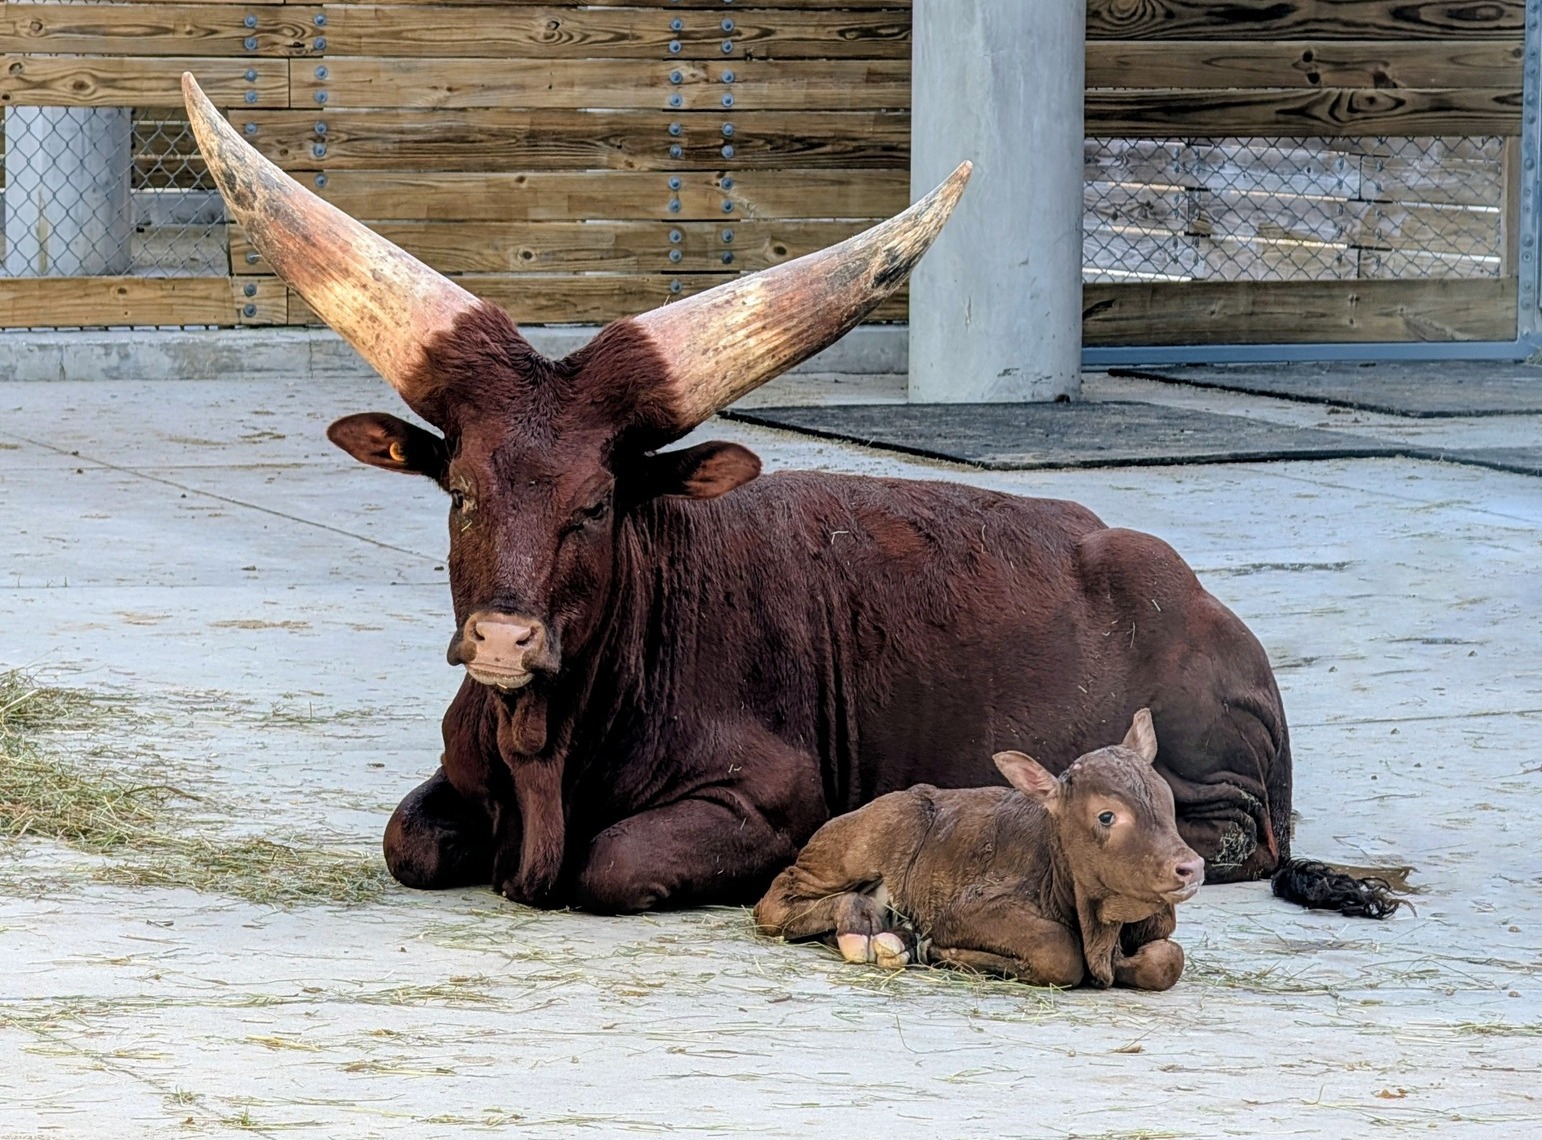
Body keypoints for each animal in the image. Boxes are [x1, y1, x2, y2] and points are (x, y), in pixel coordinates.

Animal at [182, 75, 1395, 919]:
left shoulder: (766, 799)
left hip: (1214, 783)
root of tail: (1197, 597)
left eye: (596, 504)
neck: (549, 737)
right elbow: (411, 839)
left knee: (1236, 839)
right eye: (464, 492)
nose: (503, 640)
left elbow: (610, 863)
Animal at [754, 710, 1202, 990]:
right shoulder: (966, 908)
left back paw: (895, 937)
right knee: (773, 902)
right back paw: (861, 926)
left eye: (1166, 799)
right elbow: (1058, 951)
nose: (1191, 867)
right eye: (1106, 816)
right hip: (860, 843)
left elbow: (1169, 959)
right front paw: (939, 950)